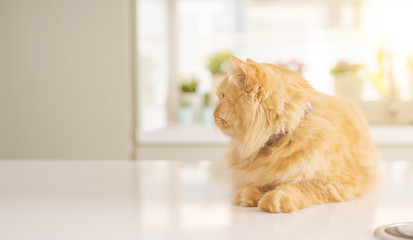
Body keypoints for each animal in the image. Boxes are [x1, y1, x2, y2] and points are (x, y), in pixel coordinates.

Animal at [214, 56, 378, 214]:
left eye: (222, 96)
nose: (213, 114)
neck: (286, 132)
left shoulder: (337, 182)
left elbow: (298, 186)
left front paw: (276, 199)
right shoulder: (265, 173)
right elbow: (264, 182)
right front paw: (248, 195)